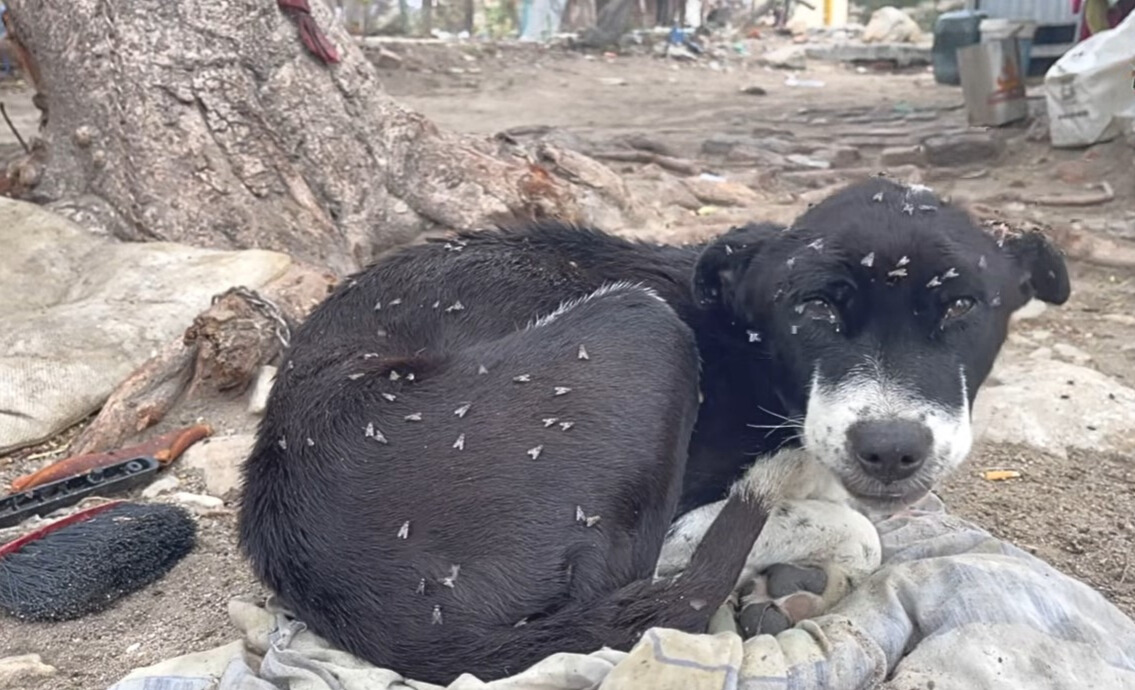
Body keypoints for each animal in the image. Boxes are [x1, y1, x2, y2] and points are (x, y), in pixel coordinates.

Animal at [234, 178, 1066, 685]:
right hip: (641, 324)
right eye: (815, 309)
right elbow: (853, 535)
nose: (891, 449)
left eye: (961, 307)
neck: (753, 351)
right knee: (634, 586)